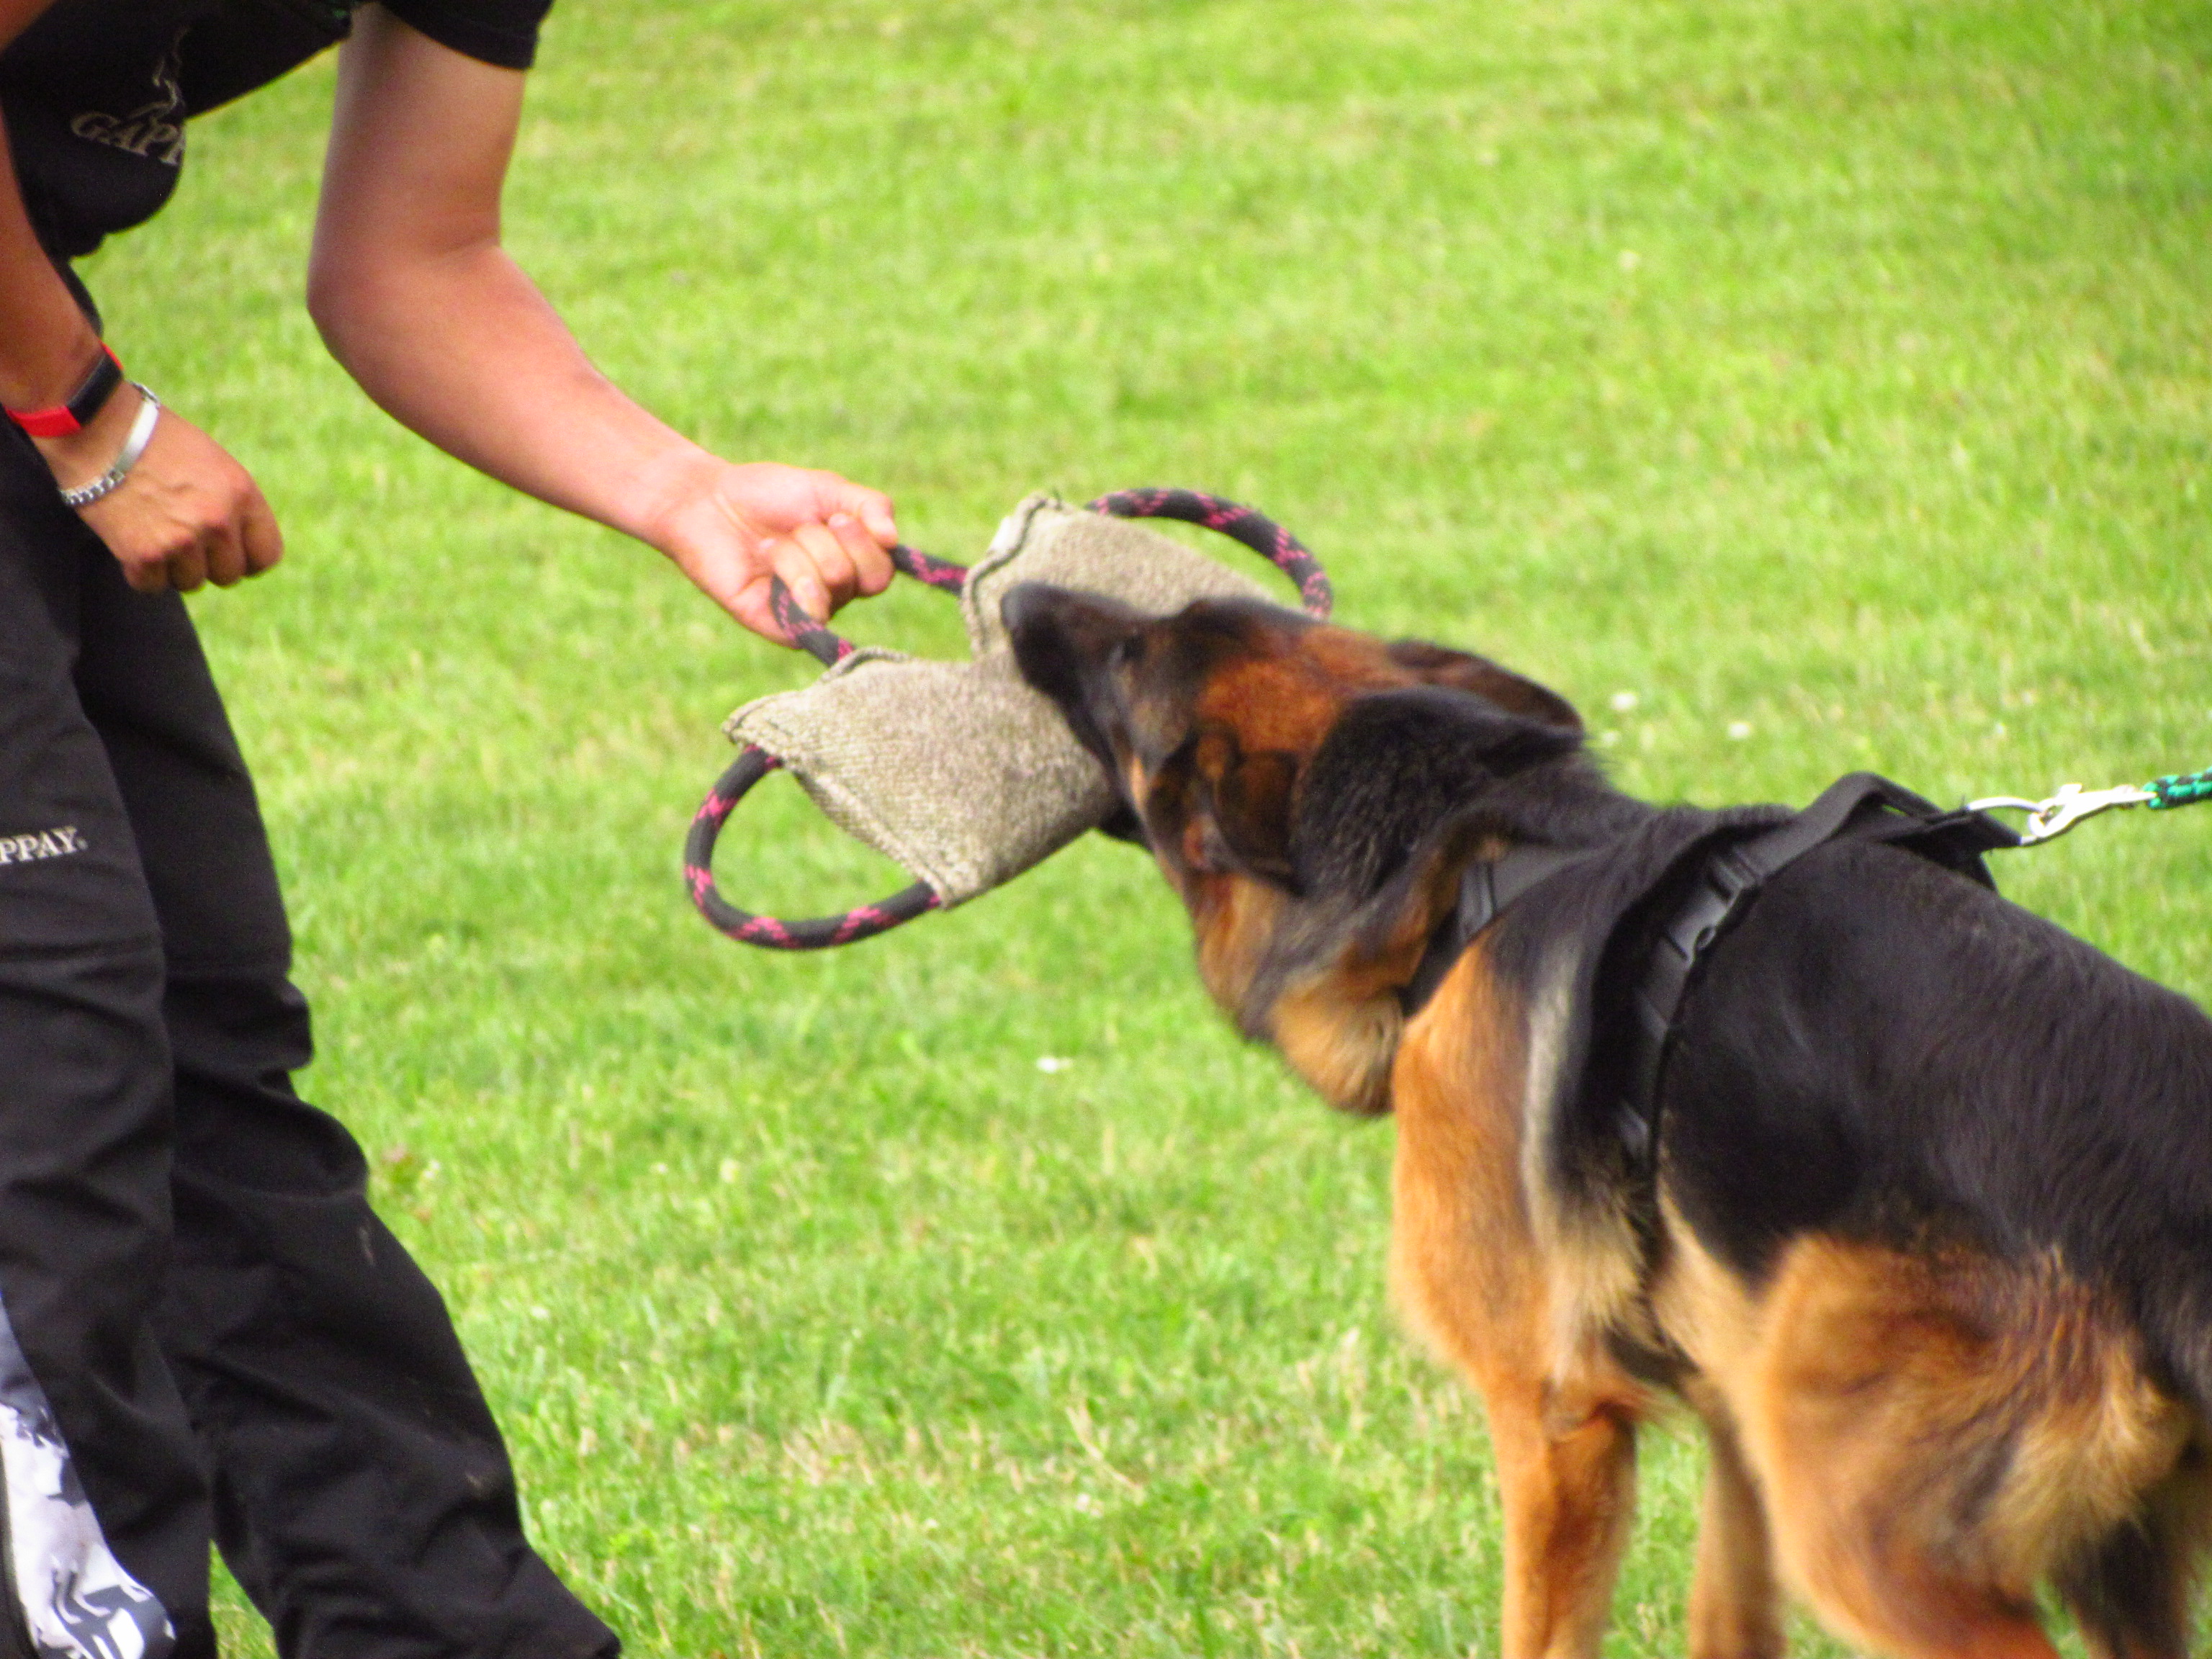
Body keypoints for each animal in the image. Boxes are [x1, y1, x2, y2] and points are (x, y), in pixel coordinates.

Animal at [1004, 582, 2212, 1659]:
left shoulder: (1552, 1418)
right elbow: (1724, 1619)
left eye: (1131, 658)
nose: (1017, 595)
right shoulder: (1729, 1397)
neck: (1459, 864)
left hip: (1856, 1528)